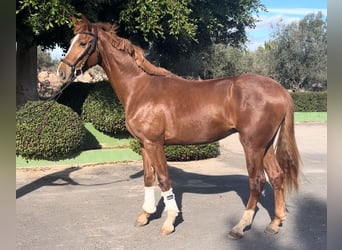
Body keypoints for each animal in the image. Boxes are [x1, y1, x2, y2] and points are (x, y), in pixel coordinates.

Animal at [57, 15, 300, 238]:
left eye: (82, 43)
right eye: (71, 40)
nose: (62, 72)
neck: (141, 88)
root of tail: (280, 90)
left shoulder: (155, 144)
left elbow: (164, 179)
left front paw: (169, 221)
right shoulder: (144, 144)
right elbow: (148, 178)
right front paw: (145, 215)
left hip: (252, 145)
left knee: (257, 181)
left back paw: (240, 226)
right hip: (265, 145)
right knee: (276, 176)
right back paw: (275, 222)